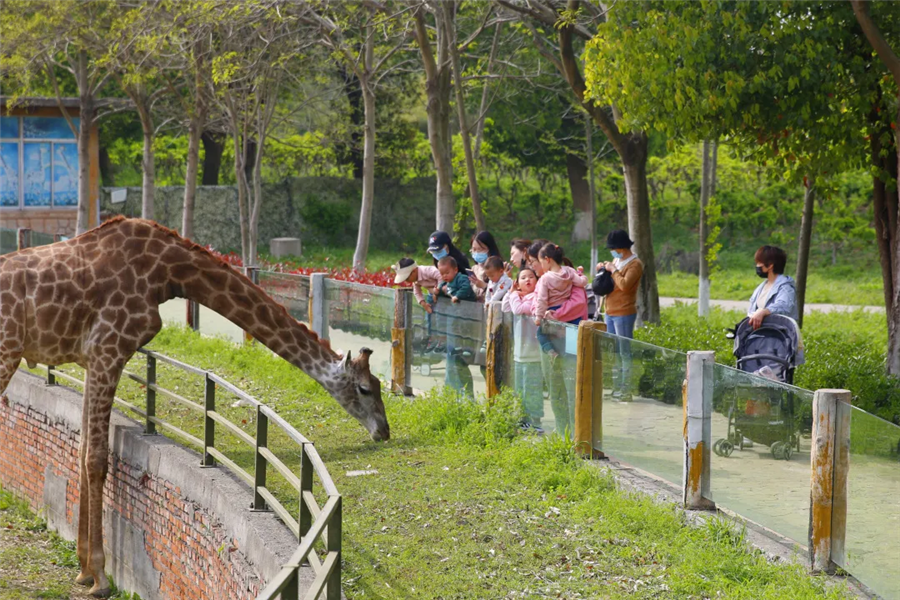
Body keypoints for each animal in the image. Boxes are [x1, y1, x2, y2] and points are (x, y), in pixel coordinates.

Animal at [0, 218, 384, 596]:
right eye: (365, 389)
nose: (384, 430)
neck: (169, 272)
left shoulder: (91, 359)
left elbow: (81, 453)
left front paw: (83, 571)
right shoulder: (107, 350)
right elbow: (96, 460)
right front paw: (100, 577)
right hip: (7, 353)